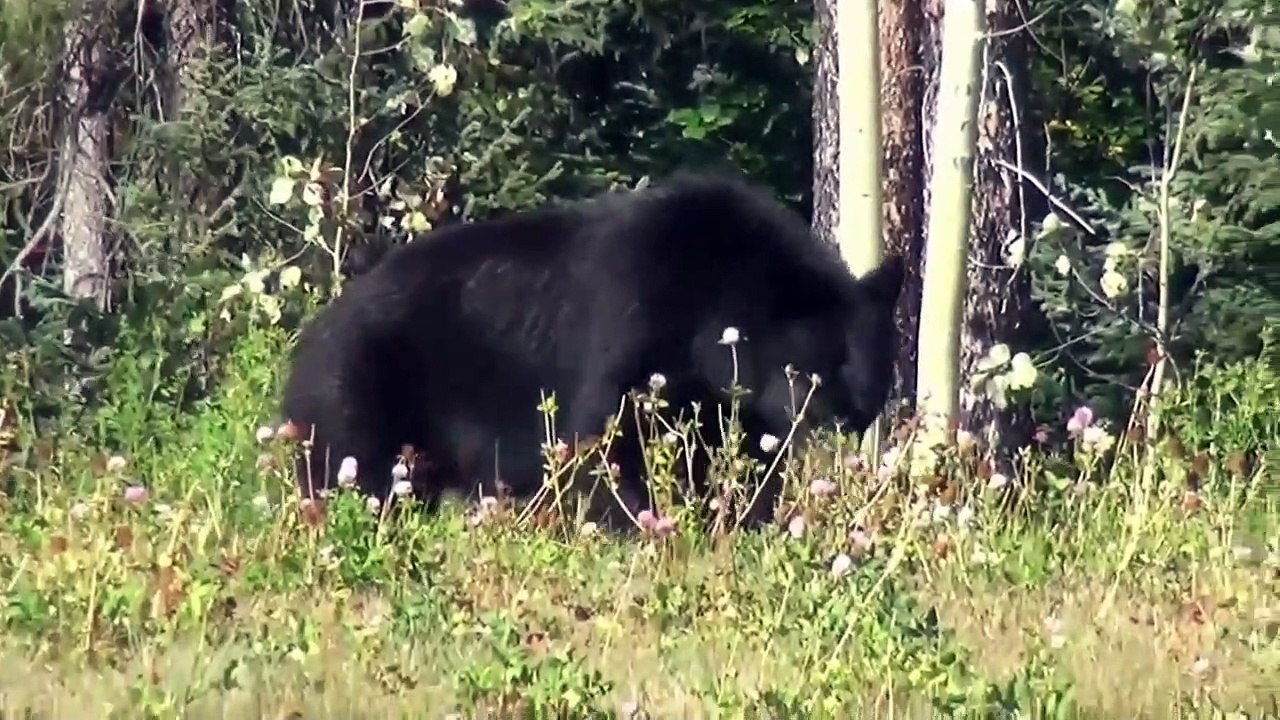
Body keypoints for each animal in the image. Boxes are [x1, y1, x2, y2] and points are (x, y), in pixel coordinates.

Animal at [280, 170, 905, 531]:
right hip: (359, 393)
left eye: (870, 379)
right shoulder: (634, 320)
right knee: (355, 474)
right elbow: (609, 440)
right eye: (814, 369)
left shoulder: (730, 402)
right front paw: (641, 524)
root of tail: (311, 335)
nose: (844, 426)